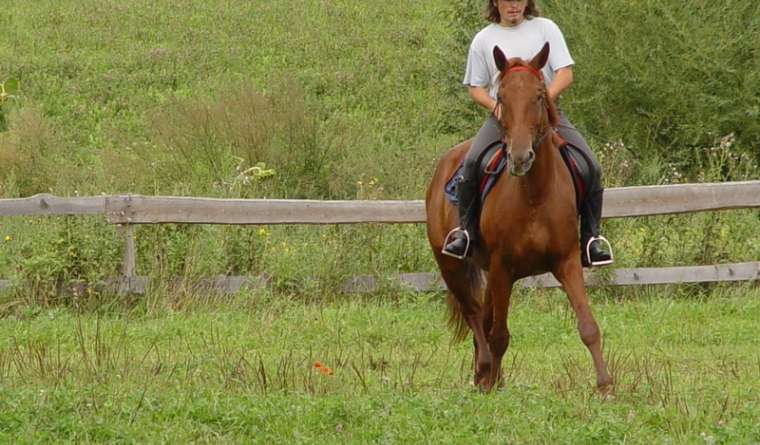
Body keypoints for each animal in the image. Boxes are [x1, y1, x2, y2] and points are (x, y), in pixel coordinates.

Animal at [424, 43, 616, 392]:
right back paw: (485, 373)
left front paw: (606, 386)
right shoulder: (503, 266)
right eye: (501, 97)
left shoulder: (566, 261)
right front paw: (491, 385)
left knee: (484, 319)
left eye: (539, 95)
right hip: (452, 267)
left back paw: (487, 376)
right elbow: (499, 335)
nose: (520, 157)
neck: (534, 194)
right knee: (476, 317)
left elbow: (588, 326)